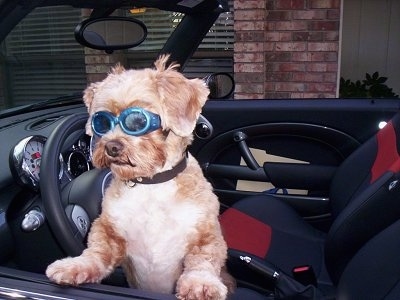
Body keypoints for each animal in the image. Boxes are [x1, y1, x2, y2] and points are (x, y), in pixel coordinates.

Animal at [45, 55, 236, 298]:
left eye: (138, 121)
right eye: (101, 122)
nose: (112, 147)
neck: (152, 184)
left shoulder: (205, 233)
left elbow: (204, 259)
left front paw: (200, 284)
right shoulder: (109, 229)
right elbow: (96, 252)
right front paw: (75, 266)